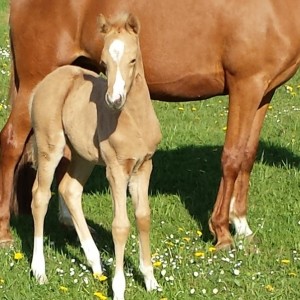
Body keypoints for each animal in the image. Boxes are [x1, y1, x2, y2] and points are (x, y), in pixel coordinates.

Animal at [1, 0, 300, 250]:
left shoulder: (263, 93)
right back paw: (5, 233)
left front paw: (242, 226)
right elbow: (232, 157)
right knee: (11, 143)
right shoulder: (245, 86)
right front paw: (223, 233)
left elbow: (247, 156)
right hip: (34, 81)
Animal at [29, 14, 162, 300]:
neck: (134, 121)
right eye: (103, 63)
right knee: (40, 196)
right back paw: (39, 270)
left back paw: (95, 262)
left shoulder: (144, 166)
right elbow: (121, 226)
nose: (114, 99)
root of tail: (45, 82)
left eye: (132, 59)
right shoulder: (115, 170)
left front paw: (151, 281)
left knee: (69, 189)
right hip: (50, 146)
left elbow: (144, 217)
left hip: (83, 156)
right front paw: (119, 289)